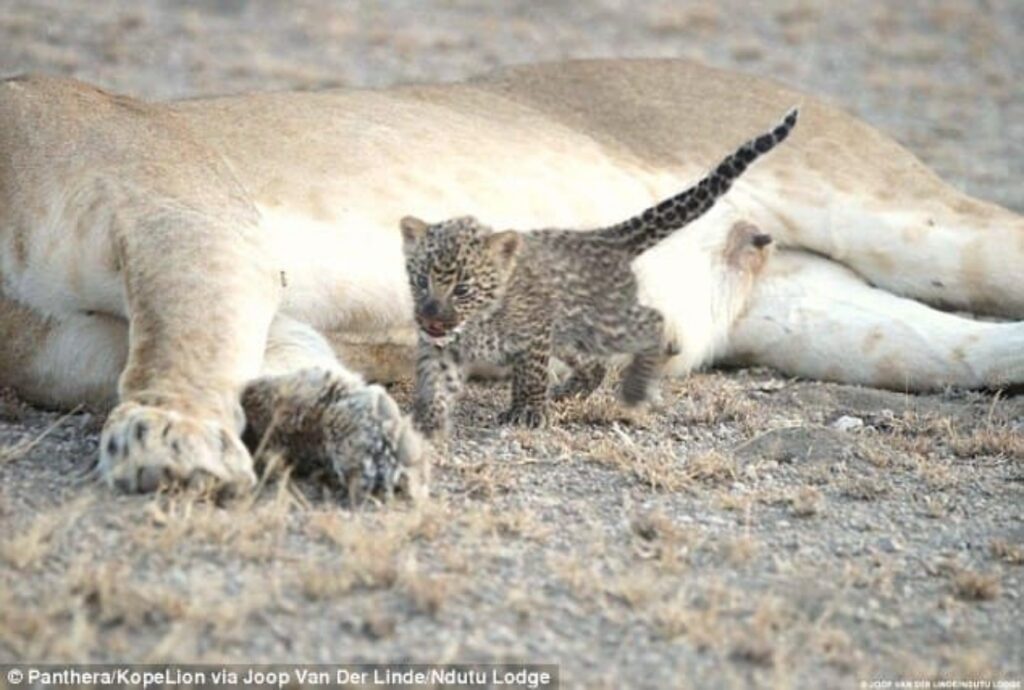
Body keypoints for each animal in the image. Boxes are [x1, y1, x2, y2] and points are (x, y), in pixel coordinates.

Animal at [0, 59, 1019, 497]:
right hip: (827, 319)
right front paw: (363, 436)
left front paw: (165, 441)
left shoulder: (188, 217)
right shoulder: (94, 342)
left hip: (901, 214)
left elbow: (181, 342)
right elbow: (272, 376)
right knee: (970, 347)